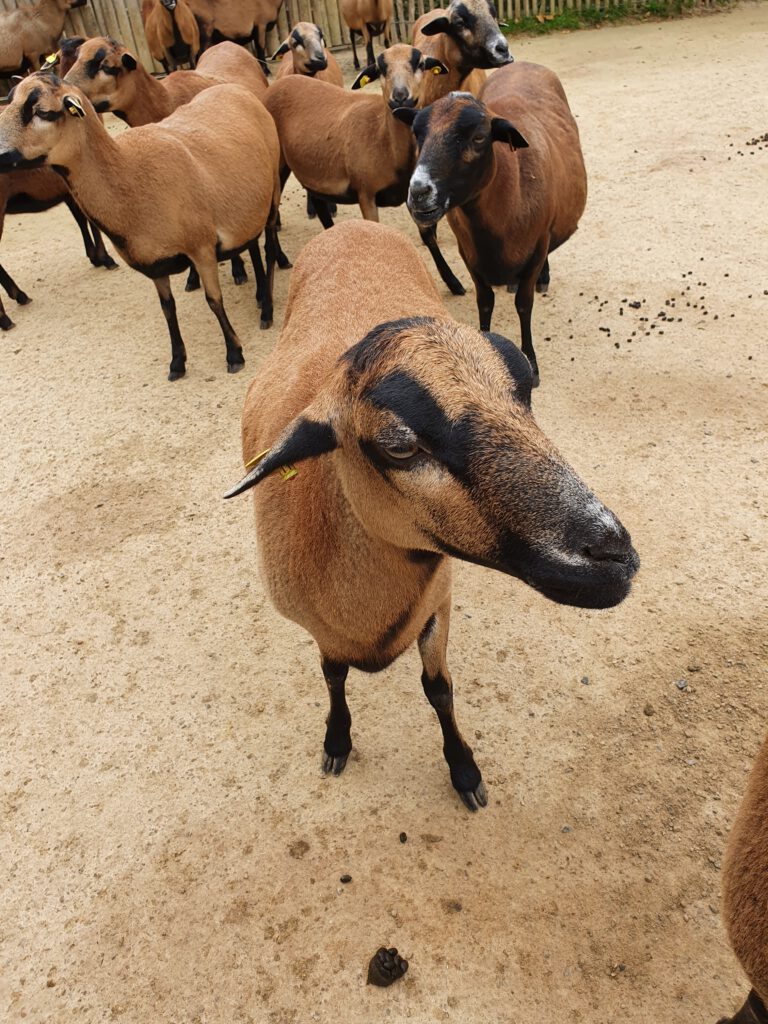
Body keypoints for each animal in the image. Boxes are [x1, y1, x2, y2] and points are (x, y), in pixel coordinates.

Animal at [0, 74, 282, 380]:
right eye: (10, 101)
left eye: (42, 112)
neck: (127, 173)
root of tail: (234, 88)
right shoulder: (154, 263)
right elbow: (167, 309)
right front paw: (177, 362)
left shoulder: (201, 248)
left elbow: (214, 300)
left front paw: (234, 354)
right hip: (247, 206)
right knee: (252, 245)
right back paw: (259, 295)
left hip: (273, 189)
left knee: (268, 247)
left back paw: (267, 308)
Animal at [64, 37, 274, 288]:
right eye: (77, 57)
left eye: (107, 66)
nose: (67, 87)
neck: (164, 100)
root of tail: (226, 42)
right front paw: (193, 278)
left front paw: (238, 270)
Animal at [225, 222, 638, 806]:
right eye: (400, 447)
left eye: (525, 392)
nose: (613, 554)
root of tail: (350, 224)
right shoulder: (320, 630)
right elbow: (332, 676)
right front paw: (337, 739)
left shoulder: (437, 601)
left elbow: (438, 688)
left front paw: (464, 770)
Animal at [397, 62, 589, 385]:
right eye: (417, 134)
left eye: (478, 138)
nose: (419, 192)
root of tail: (523, 63)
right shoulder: (468, 253)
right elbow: (484, 301)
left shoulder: (537, 246)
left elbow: (524, 304)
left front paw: (531, 364)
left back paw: (543, 277)